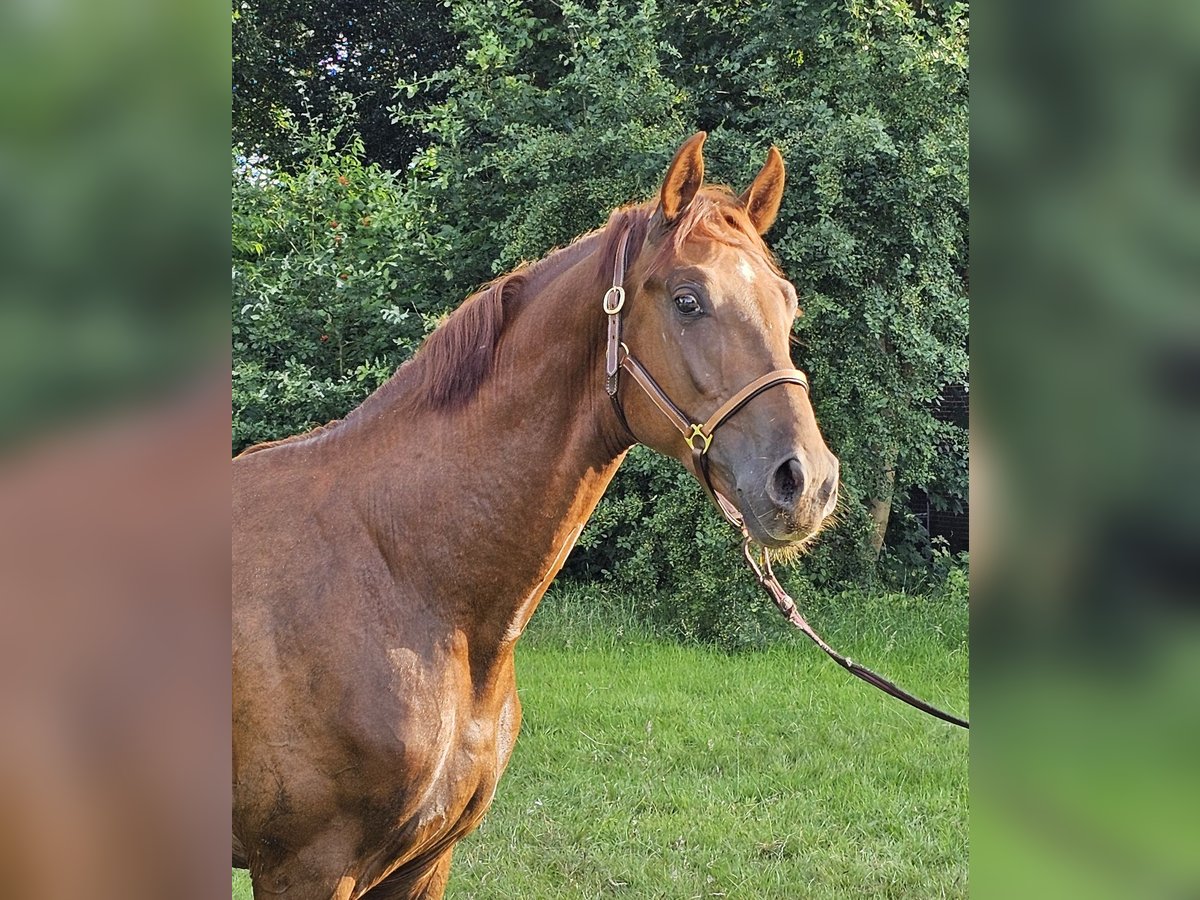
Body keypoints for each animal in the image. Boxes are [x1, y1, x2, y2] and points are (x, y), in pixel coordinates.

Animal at [231, 133, 835, 900]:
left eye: (788, 305)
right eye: (688, 300)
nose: (807, 481)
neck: (404, 574)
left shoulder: (423, 863)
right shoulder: (306, 868)